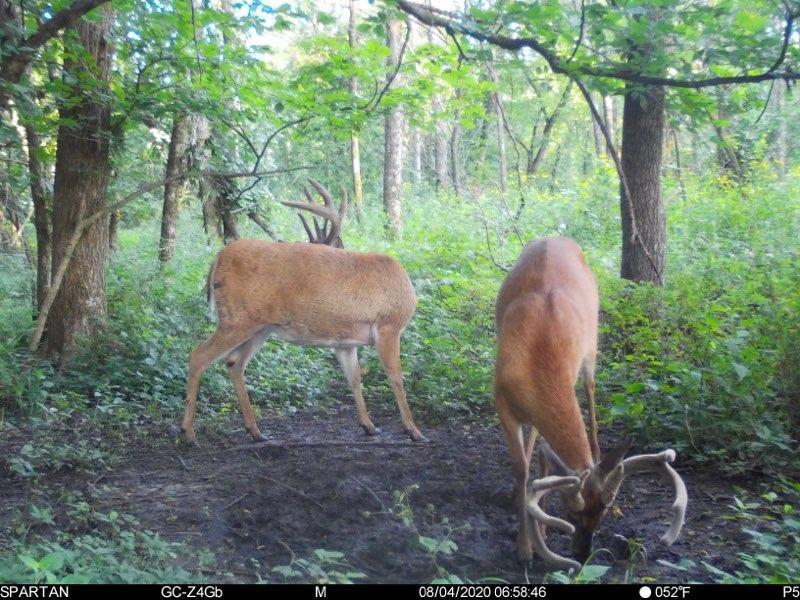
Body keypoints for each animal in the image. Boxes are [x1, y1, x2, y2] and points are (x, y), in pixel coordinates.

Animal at [180, 179, 427, 444]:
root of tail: (217, 259)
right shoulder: (389, 324)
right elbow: (396, 377)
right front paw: (414, 430)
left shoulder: (344, 342)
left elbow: (354, 378)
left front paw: (369, 426)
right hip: (236, 320)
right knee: (198, 357)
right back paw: (188, 433)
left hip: (259, 328)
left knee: (234, 363)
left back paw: (256, 431)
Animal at [494, 236, 687, 571]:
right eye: (572, 514)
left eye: (605, 512)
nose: (584, 556)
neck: (538, 356)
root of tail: (556, 237)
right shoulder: (500, 397)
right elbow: (522, 467)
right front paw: (525, 546)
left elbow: (542, 458)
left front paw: (539, 528)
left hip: (592, 348)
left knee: (592, 394)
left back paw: (595, 450)